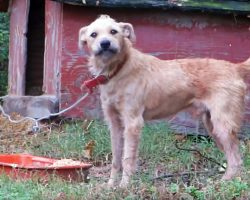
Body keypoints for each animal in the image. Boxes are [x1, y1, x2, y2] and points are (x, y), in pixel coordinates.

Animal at [79, 14, 250, 187]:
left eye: (113, 31)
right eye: (94, 34)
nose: (105, 43)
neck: (118, 69)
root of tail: (235, 68)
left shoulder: (133, 123)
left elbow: (127, 159)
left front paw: (124, 186)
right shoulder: (114, 124)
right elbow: (115, 158)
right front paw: (110, 185)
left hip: (223, 125)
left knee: (236, 160)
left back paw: (223, 182)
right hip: (212, 126)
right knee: (233, 157)